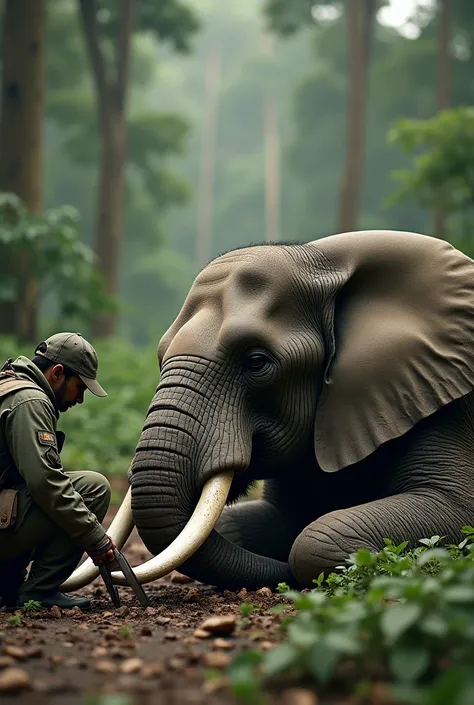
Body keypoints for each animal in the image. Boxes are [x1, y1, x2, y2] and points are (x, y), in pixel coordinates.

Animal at [62, 228, 474, 592]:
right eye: (161, 357)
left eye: (256, 362)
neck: (326, 257)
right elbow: (268, 521)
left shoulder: (439, 399)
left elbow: (449, 511)